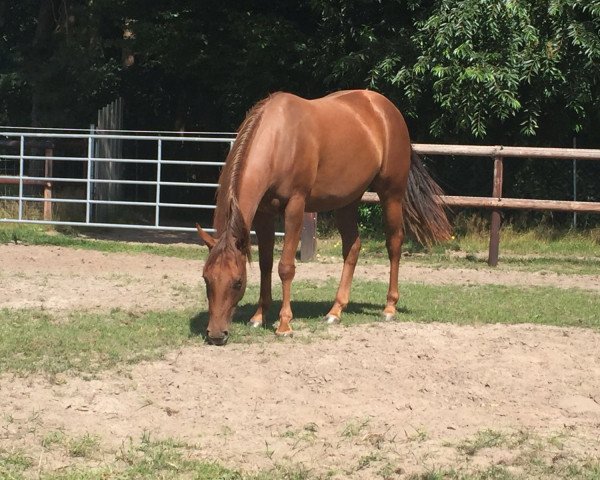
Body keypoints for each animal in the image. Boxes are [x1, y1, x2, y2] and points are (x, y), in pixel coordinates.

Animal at [197, 89, 450, 344]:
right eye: (206, 279)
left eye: (237, 281)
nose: (216, 335)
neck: (280, 139)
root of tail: (386, 108)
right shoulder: (263, 214)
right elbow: (265, 264)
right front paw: (258, 317)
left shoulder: (295, 207)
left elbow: (285, 267)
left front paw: (284, 324)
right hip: (348, 201)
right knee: (352, 247)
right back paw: (335, 311)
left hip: (392, 195)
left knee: (394, 243)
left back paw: (389, 307)